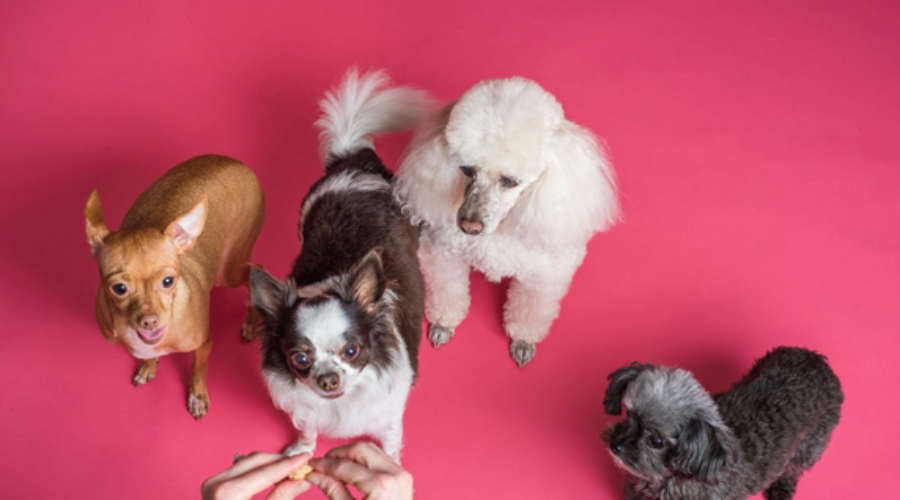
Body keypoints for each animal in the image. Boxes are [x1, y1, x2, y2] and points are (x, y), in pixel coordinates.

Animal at [604, 348, 844, 500]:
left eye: (655, 441)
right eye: (628, 414)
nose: (615, 446)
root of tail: (816, 360)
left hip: (811, 445)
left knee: (793, 469)